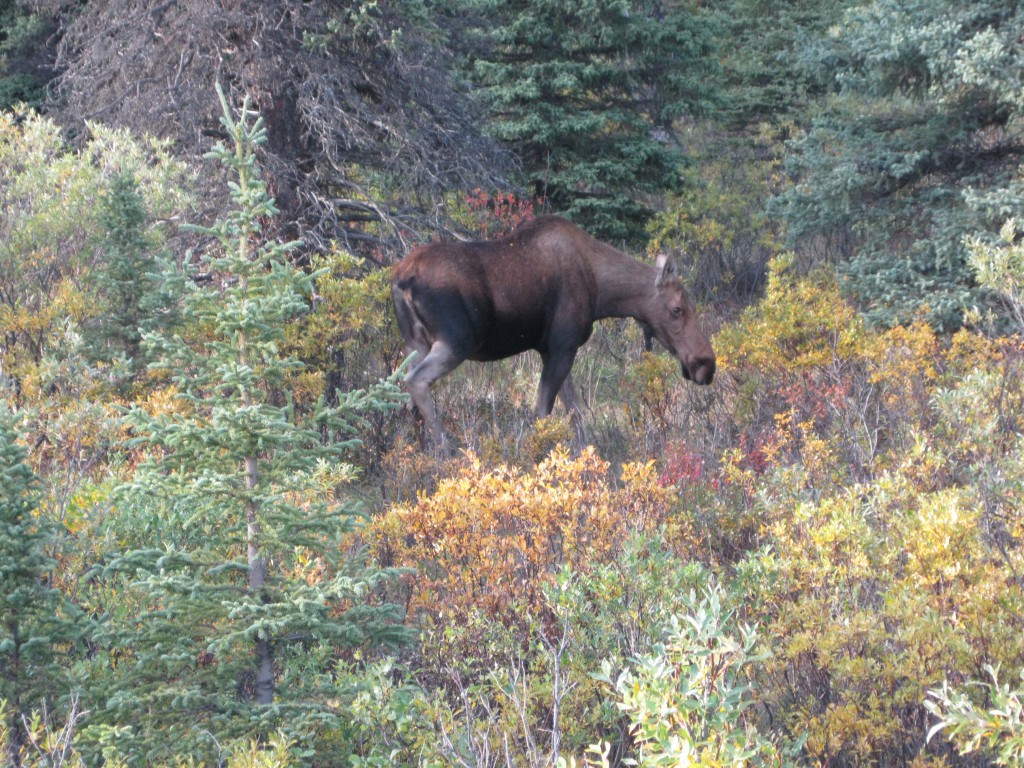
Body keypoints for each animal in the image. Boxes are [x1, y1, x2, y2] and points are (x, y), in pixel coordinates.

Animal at [387, 215, 716, 444]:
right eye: (677, 309)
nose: (706, 364)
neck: (602, 292)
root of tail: (402, 279)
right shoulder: (563, 346)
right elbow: (544, 412)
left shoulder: (553, 350)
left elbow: (575, 413)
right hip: (456, 341)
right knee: (415, 381)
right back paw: (445, 450)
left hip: (414, 343)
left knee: (404, 394)